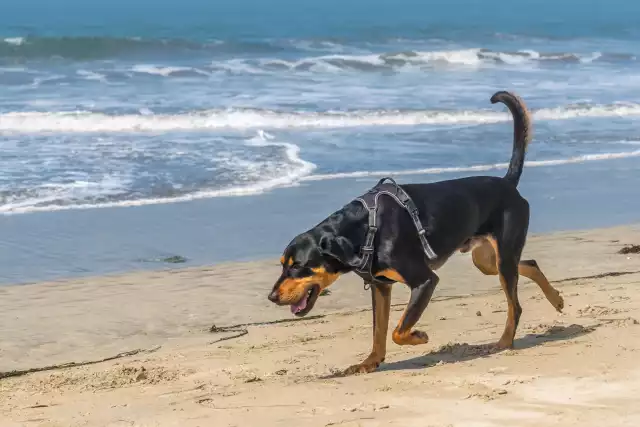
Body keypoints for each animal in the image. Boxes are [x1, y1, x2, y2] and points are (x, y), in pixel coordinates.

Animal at [268, 90, 564, 374]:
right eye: (283, 264)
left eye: (298, 266)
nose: (271, 297)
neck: (363, 229)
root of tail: (507, 184)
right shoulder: (380, 286)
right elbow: (379, 331)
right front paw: (370, 362)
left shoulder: (424, 281)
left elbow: (398, 330)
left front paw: (418, 337)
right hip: (487, 261)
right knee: (530, 264)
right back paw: (557, 299)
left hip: (503, 258)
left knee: (516, 305)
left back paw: (504, 342)